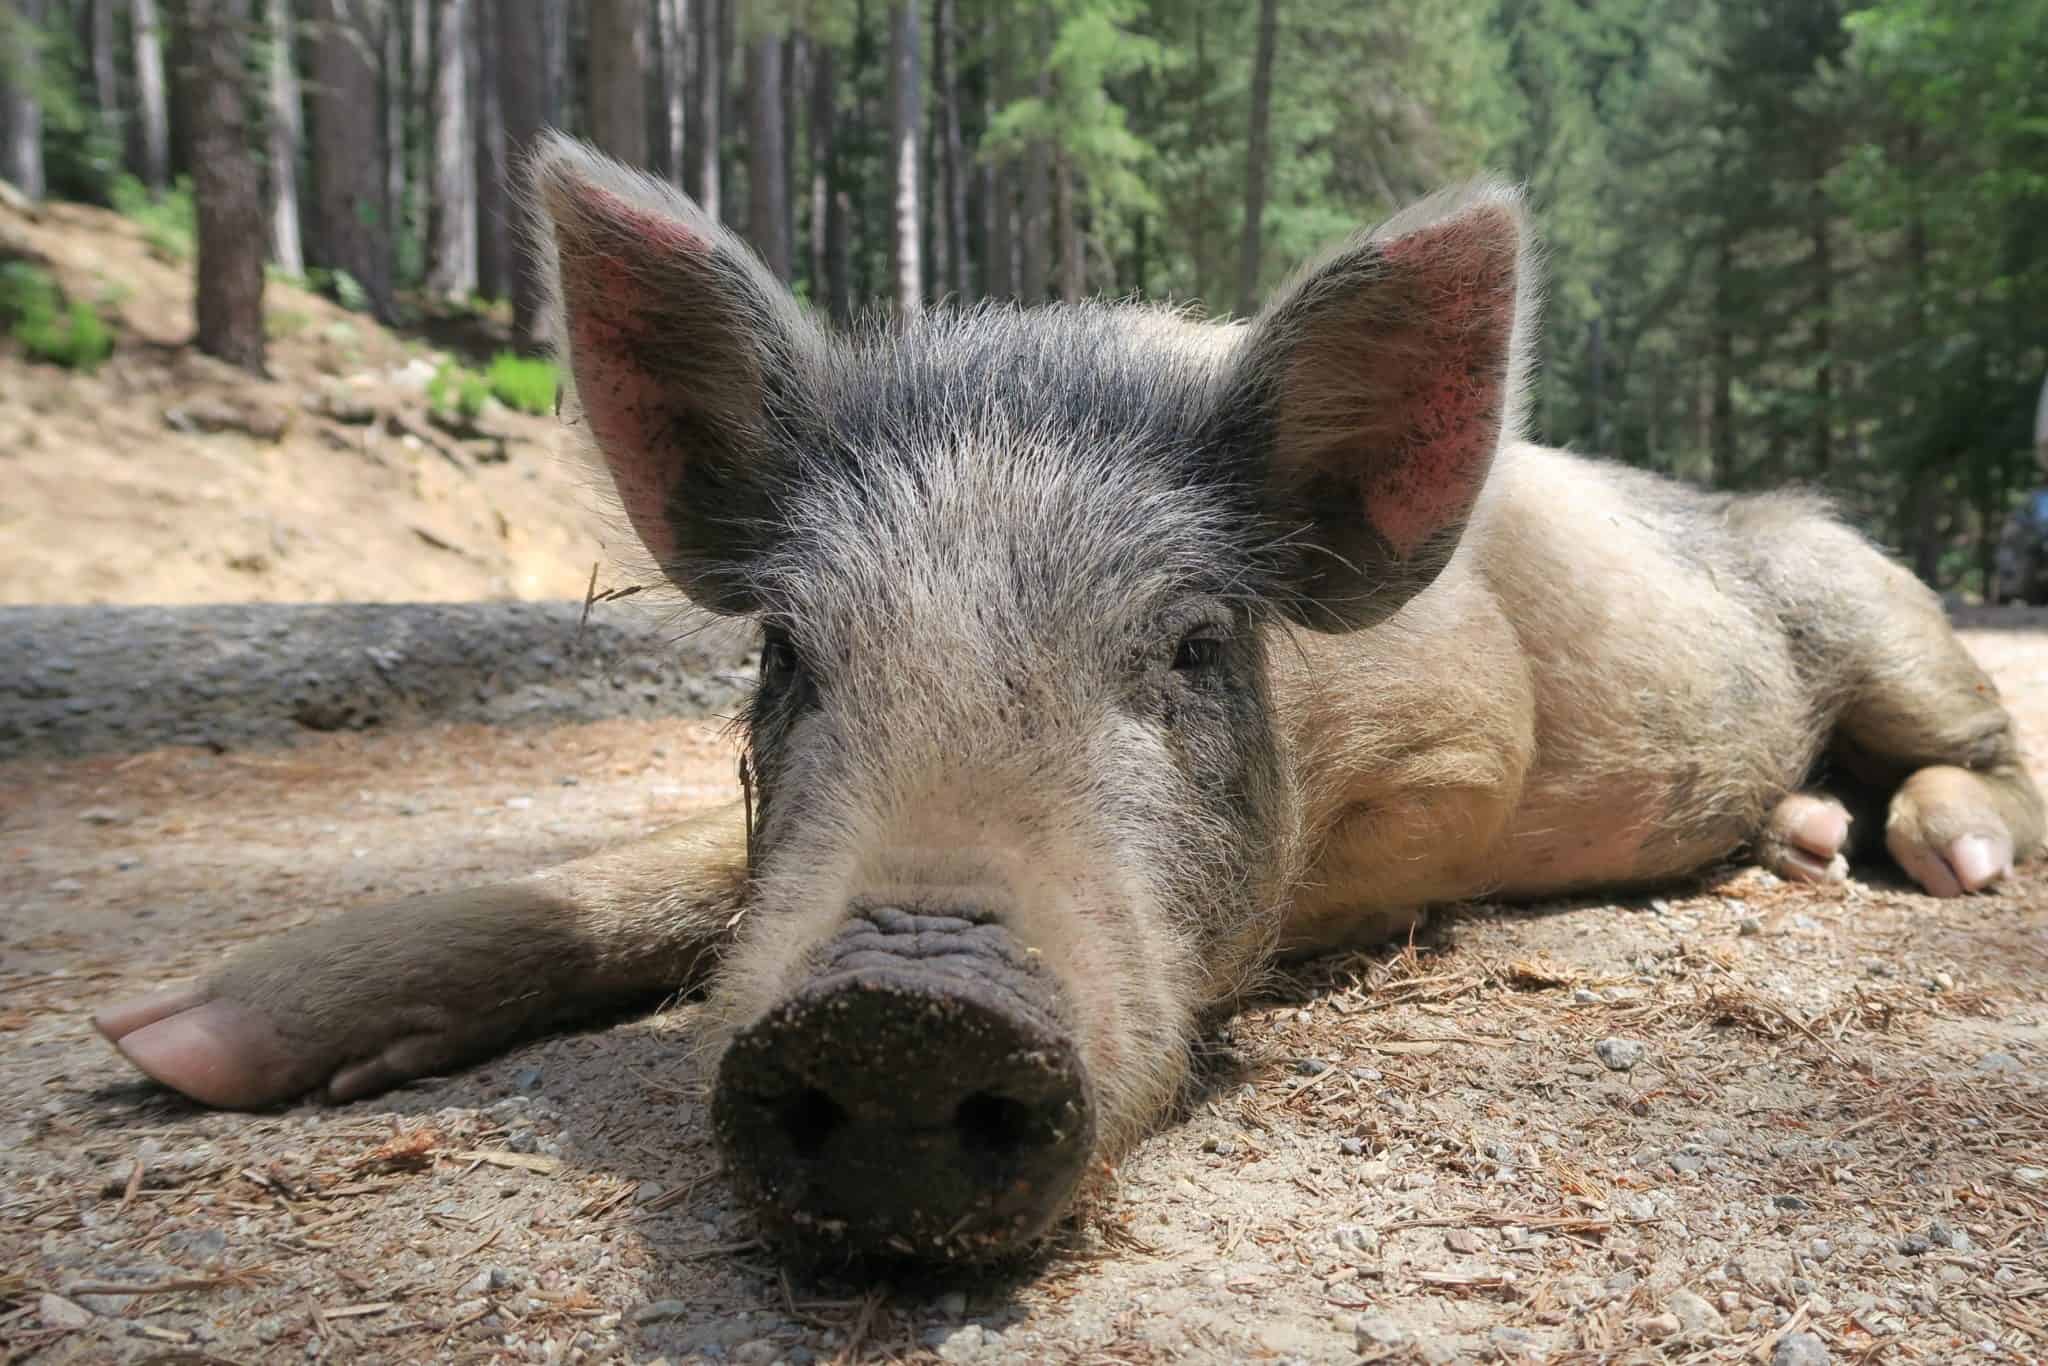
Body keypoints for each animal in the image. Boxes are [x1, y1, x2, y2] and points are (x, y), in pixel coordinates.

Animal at [94, 135, 2043, 1266]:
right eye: (786, 651)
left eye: (1187, 647)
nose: (897, 1015)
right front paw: (169, 1048)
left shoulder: (1466, 750)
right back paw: (1800, 840)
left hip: (1870, 600)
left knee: (1978, 747)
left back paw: (1938, 857)